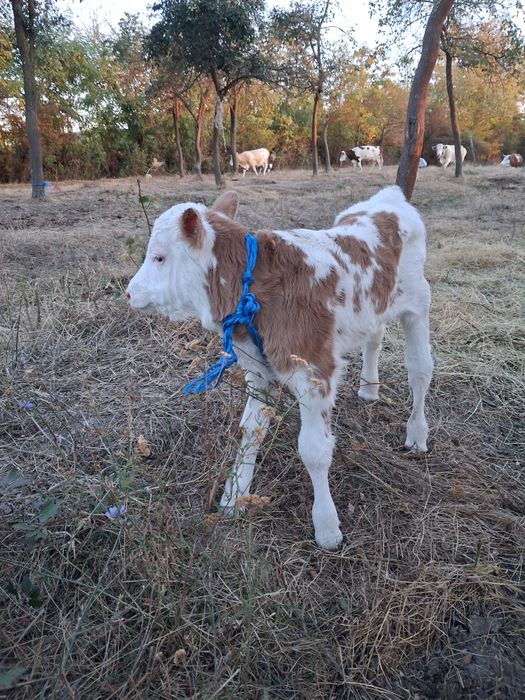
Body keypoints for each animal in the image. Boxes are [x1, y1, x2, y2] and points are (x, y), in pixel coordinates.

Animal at [126, 186, 433, 550]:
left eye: (159, 257)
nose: (129, 293)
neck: (254, 286)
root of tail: (390, 199)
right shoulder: (257, 369)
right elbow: (250, 430)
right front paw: (234, 497)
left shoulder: (314, 372)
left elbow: (314, 451)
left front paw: (327, 527)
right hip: (373, 307)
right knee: (375, 334)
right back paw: (369, 388)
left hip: (418, 304)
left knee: (420, 372)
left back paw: (417, 434)